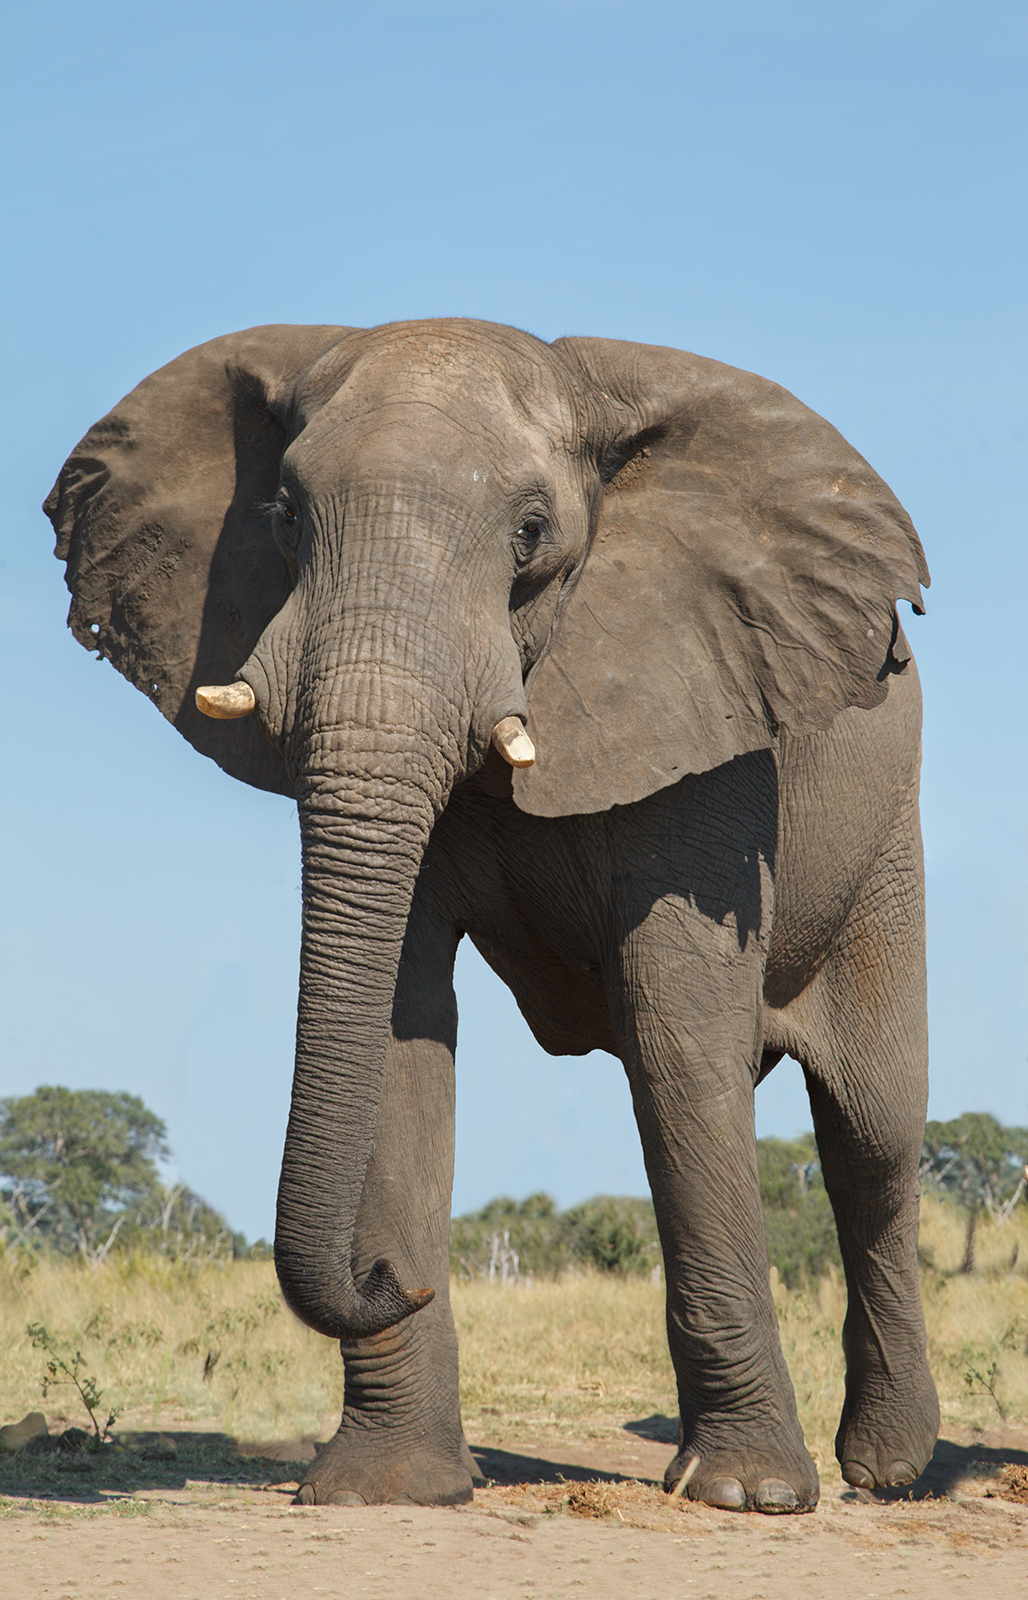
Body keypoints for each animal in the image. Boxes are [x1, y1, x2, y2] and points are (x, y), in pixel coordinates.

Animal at [45, 317, 939, 1513]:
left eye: (529, 536)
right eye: (283, 517)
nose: (389, 1276)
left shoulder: (708, 720)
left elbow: (677, 1032)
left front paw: (746, 1497)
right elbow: (397, 1024)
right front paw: (383, 1487)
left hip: (885, 846)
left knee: (872, 1133)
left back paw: (888, 1471)